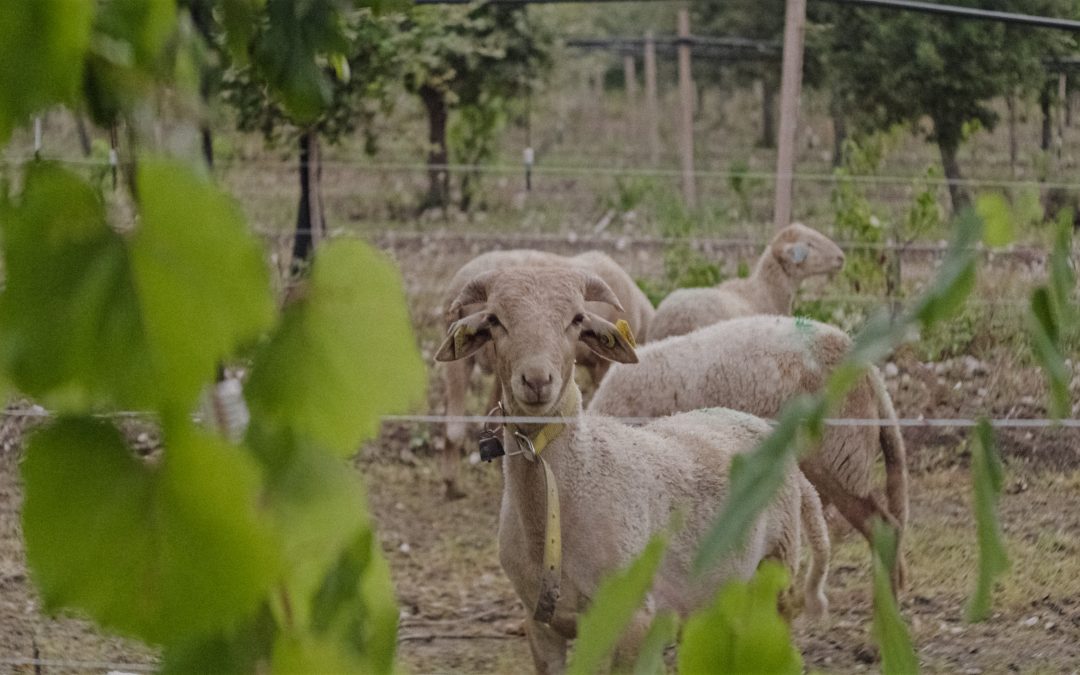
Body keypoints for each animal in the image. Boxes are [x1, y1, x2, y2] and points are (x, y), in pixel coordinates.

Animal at [436, 250, 652, 496]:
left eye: (578, 319)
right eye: (494, 319)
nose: (537, 381)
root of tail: (459, 281)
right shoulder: (602, 365)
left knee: (453, 420)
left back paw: (452, 481)